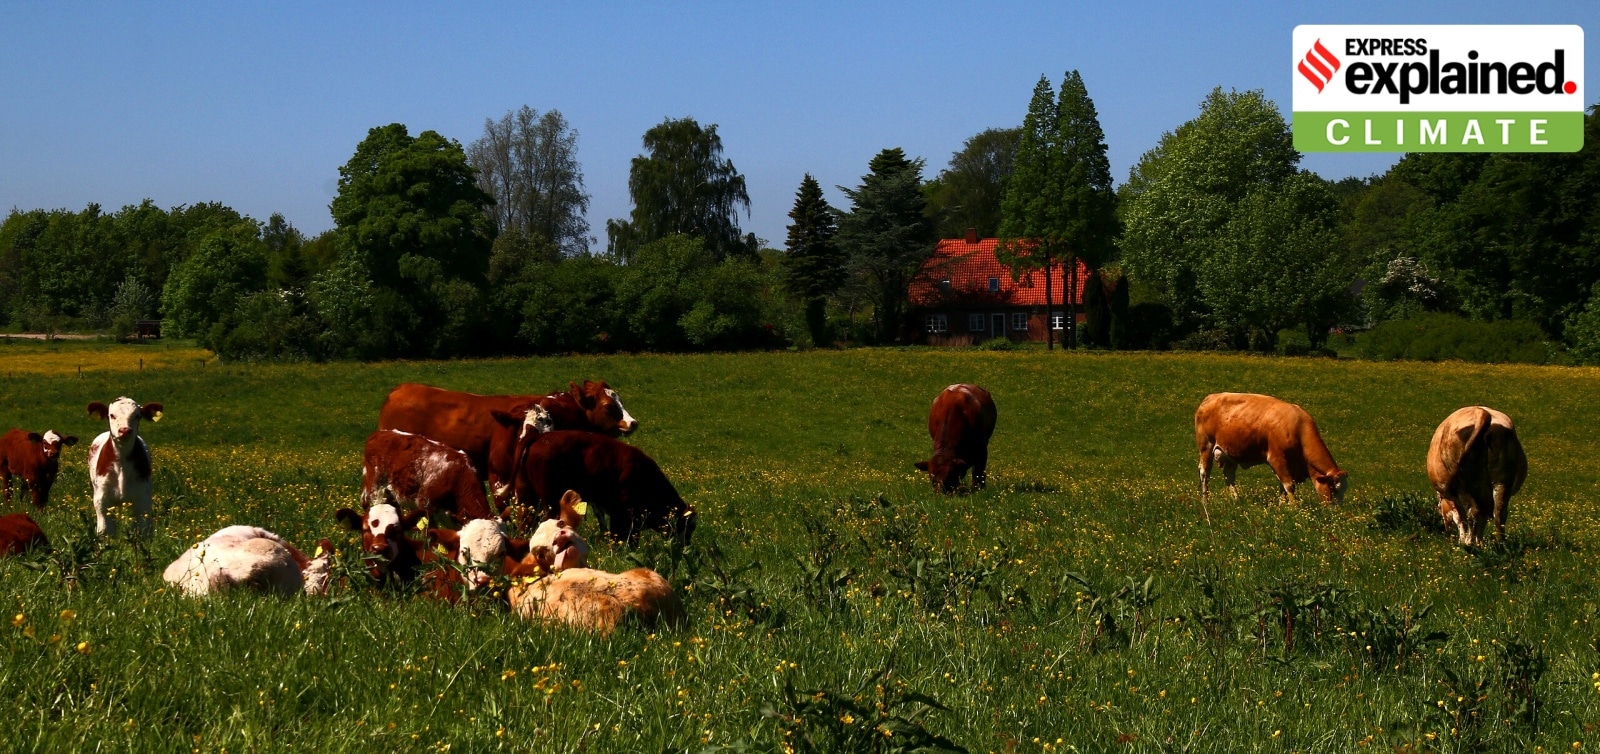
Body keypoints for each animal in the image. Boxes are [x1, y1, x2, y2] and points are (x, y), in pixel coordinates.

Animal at [86, 397, 163, 536]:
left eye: (137, 416)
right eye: (111, 415)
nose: (124, 430)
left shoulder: (143, 499)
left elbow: (143, 530)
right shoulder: (102, 500)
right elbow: (105, 530)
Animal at [507, 430, 694, 545]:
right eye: (687, 527)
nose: (684, 547)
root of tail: (539, 437)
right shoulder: (624, 515)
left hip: (527, 498)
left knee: (526, 522)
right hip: (551, 502)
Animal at [1195, 392, 1348, 504]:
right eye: (1333, 488)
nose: (1336, 511)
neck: (1298, 428)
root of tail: (1211, 397)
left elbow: (1283, 487)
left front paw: (1281, 506)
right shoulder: (1277, 458)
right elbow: (1289, 485)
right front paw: (1294, 507)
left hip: (1230, 453)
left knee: (1229, 475)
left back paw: (1236, 499)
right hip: (1206, 445)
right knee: (1204, 472)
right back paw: (1205, 500)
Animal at [1427, 406, 1527, 547]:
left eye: (1440, 508)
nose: (1447, 530)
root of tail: (1482, 412)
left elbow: (1460, 517)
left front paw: (1464, 540)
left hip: (1465, 483)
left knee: (1473, 512)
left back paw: (1471, 544)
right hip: (1502, 480)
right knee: (1499, 513)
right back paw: (1501, 544)